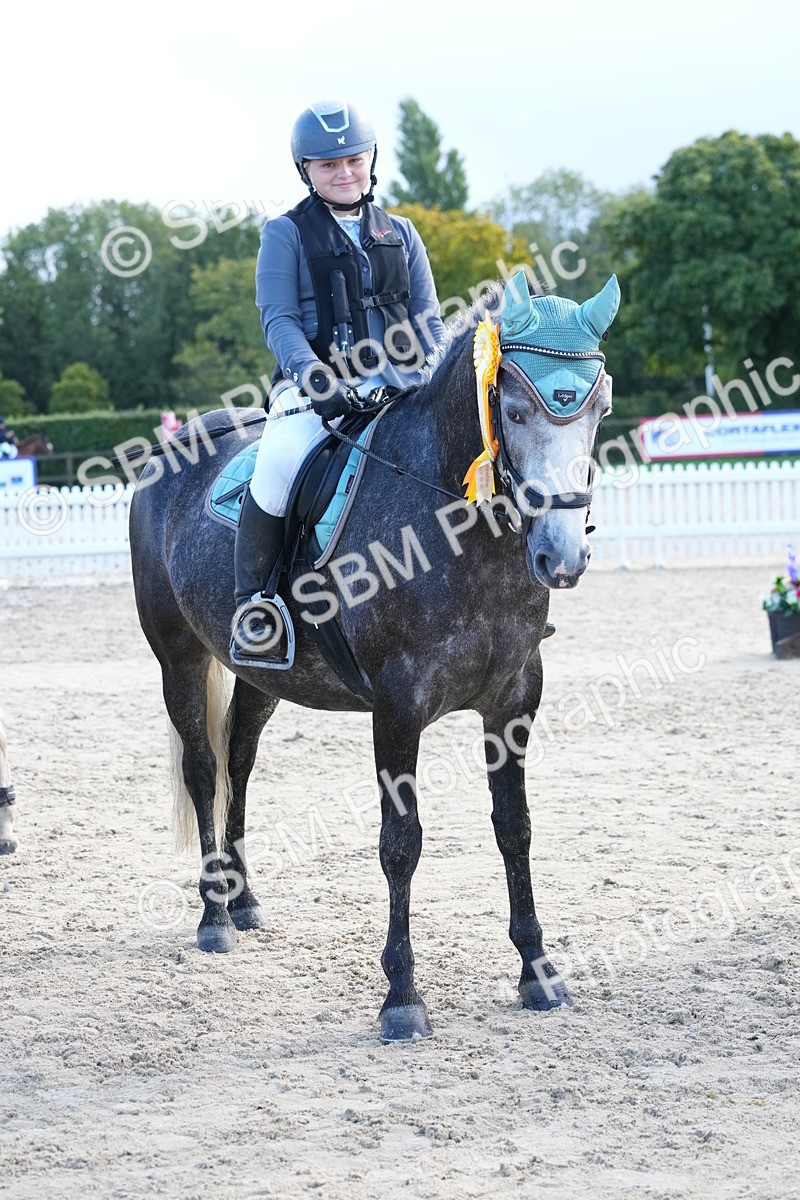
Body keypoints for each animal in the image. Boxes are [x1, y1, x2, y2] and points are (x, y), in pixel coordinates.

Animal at [129, 270, 620, 1041]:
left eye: (600, 408)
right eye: (512, 410)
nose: (563, 557)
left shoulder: (514, 701)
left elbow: (515, 830)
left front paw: (537, 971)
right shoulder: (396, 708)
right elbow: (401, 843)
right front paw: (402, 997)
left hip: (262, 675)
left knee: (240, 762)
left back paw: (243, 899)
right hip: (177, 658)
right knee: (205, 772)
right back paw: (213, 915)